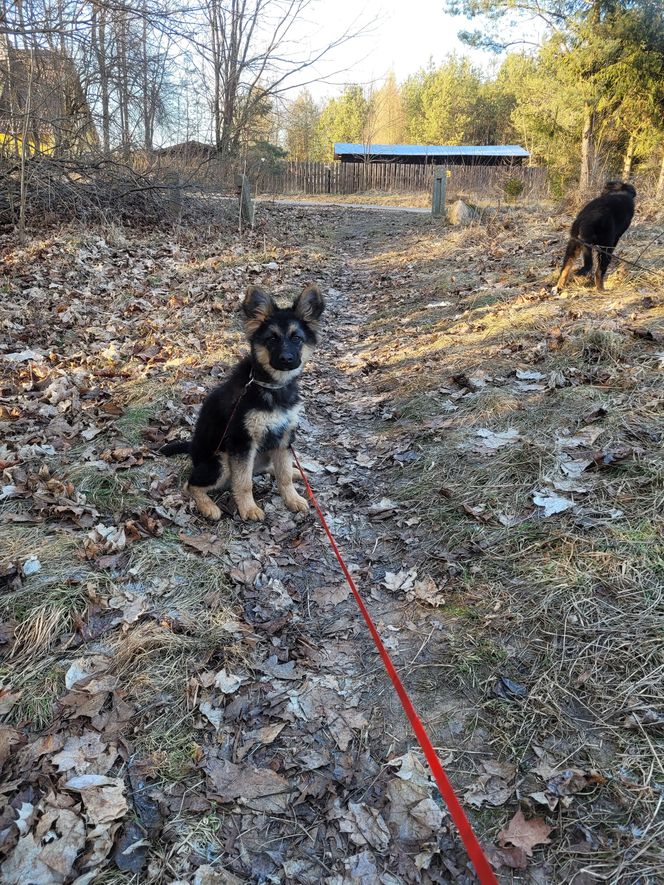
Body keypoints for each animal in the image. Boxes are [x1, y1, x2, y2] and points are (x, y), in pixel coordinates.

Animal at [162, 284, 326, 516]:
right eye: (272, 339)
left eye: (297, 338)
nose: (286, 359)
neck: (269, 386)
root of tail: (193, 449)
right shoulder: (242, 442)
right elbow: (243, 481)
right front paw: (249, 509)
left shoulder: (283, 437)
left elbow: (283, 474)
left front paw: (292, 498)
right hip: (221, 461)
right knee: (190, 484)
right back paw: (208, 507)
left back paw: (294, 471)